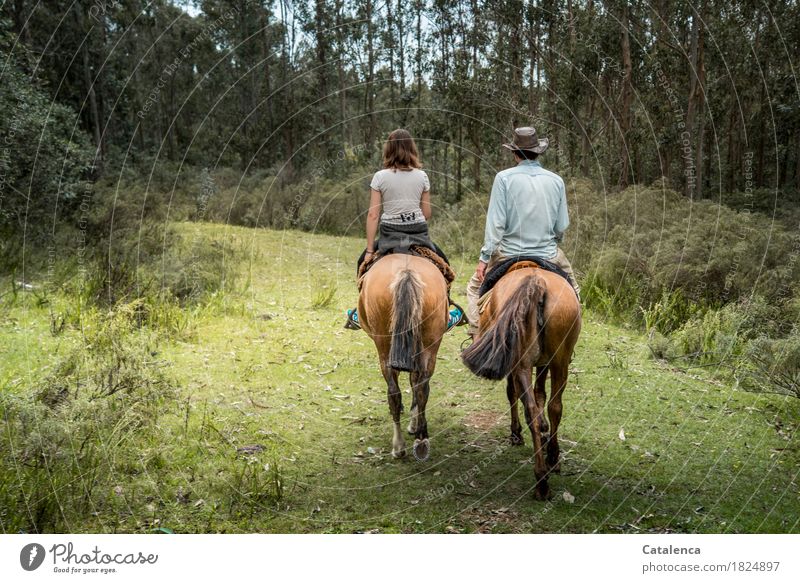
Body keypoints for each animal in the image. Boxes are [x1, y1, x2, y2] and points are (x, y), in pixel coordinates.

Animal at [358, 253, 450, 464]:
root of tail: (407, 272)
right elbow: (415, 382)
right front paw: (415, 424)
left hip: (385, 347)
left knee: (396, 391)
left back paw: (399, 446)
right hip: (429, 345)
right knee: (421, 387)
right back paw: (421, 442)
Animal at [462, 266, 580, 500]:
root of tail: (537, 281)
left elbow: (514, 392)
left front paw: (516, 433)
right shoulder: (542, 362)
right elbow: (539, 393)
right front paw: (542, 430)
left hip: (523, 361)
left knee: (532, 404)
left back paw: (543, 473)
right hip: (558, 360)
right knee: (553, 406)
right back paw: (549, 466)